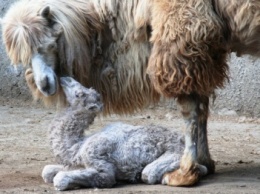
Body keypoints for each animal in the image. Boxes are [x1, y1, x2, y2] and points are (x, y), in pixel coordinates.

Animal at [42, 76, 186, 190]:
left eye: (79, 94)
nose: (65, 78)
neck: (77, 146)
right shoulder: (76, 163)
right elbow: (47, 171)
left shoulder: (101, 163)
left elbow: (61, 179)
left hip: (176, 153)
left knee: (148, 174)